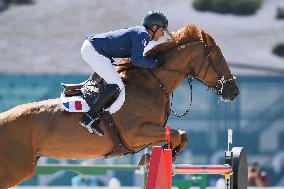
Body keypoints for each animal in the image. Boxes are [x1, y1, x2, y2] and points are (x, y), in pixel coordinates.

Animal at [0, 24, 240, 188]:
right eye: (217, 57)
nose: (234, 91)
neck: (150, 85)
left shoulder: (147, 134)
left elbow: (181, 135)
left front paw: (163, 157)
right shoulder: (136, 134)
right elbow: (177, 134)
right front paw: (162, 158)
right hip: (16, 171)